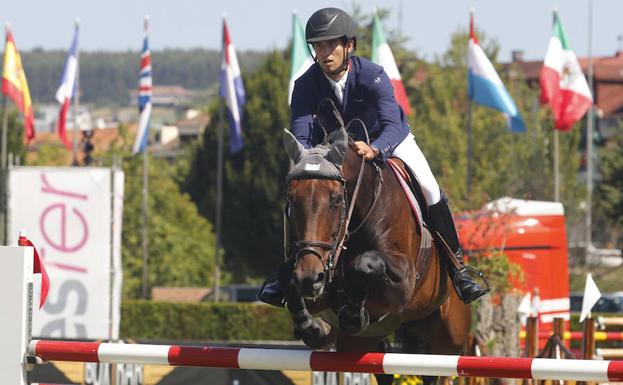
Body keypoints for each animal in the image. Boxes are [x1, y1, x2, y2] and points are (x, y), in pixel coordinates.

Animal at [280, 127, 470, 382]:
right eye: (291, 199)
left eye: (336, 200)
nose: (309, 278)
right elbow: (288, 280)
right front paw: (314, 327)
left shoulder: (403, 283)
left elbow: (366, 264)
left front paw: (353, 314)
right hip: (367, 344)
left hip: (449, 338)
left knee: (436, 368)